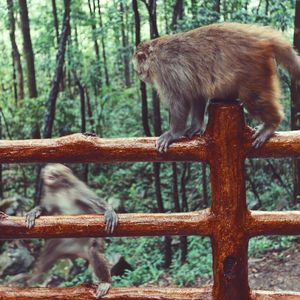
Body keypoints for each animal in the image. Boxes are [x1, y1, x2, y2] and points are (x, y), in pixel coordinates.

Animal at [24, 163, 118, 298]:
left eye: (54, 171)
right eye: (49, 170)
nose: (49, 173)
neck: (59, 188)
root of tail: (79, 252)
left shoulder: (76, 187)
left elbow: (94, 201)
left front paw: (109, 210)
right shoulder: (50, 194)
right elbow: (47, 210)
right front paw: (35, 211)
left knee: (94, 250)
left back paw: (105, 282)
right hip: (65, 243)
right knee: (50, 249)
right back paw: (34, 279)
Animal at [132, 22, 300, 152]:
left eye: (138, 69)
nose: (140, 75)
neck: (154, 54)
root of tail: (260, 36)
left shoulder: (165, 72)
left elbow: (179, 102)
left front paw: (173, 133)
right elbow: (197, 94)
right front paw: (196, 126)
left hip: (254, 69)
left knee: (252, 99)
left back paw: (271, 124)